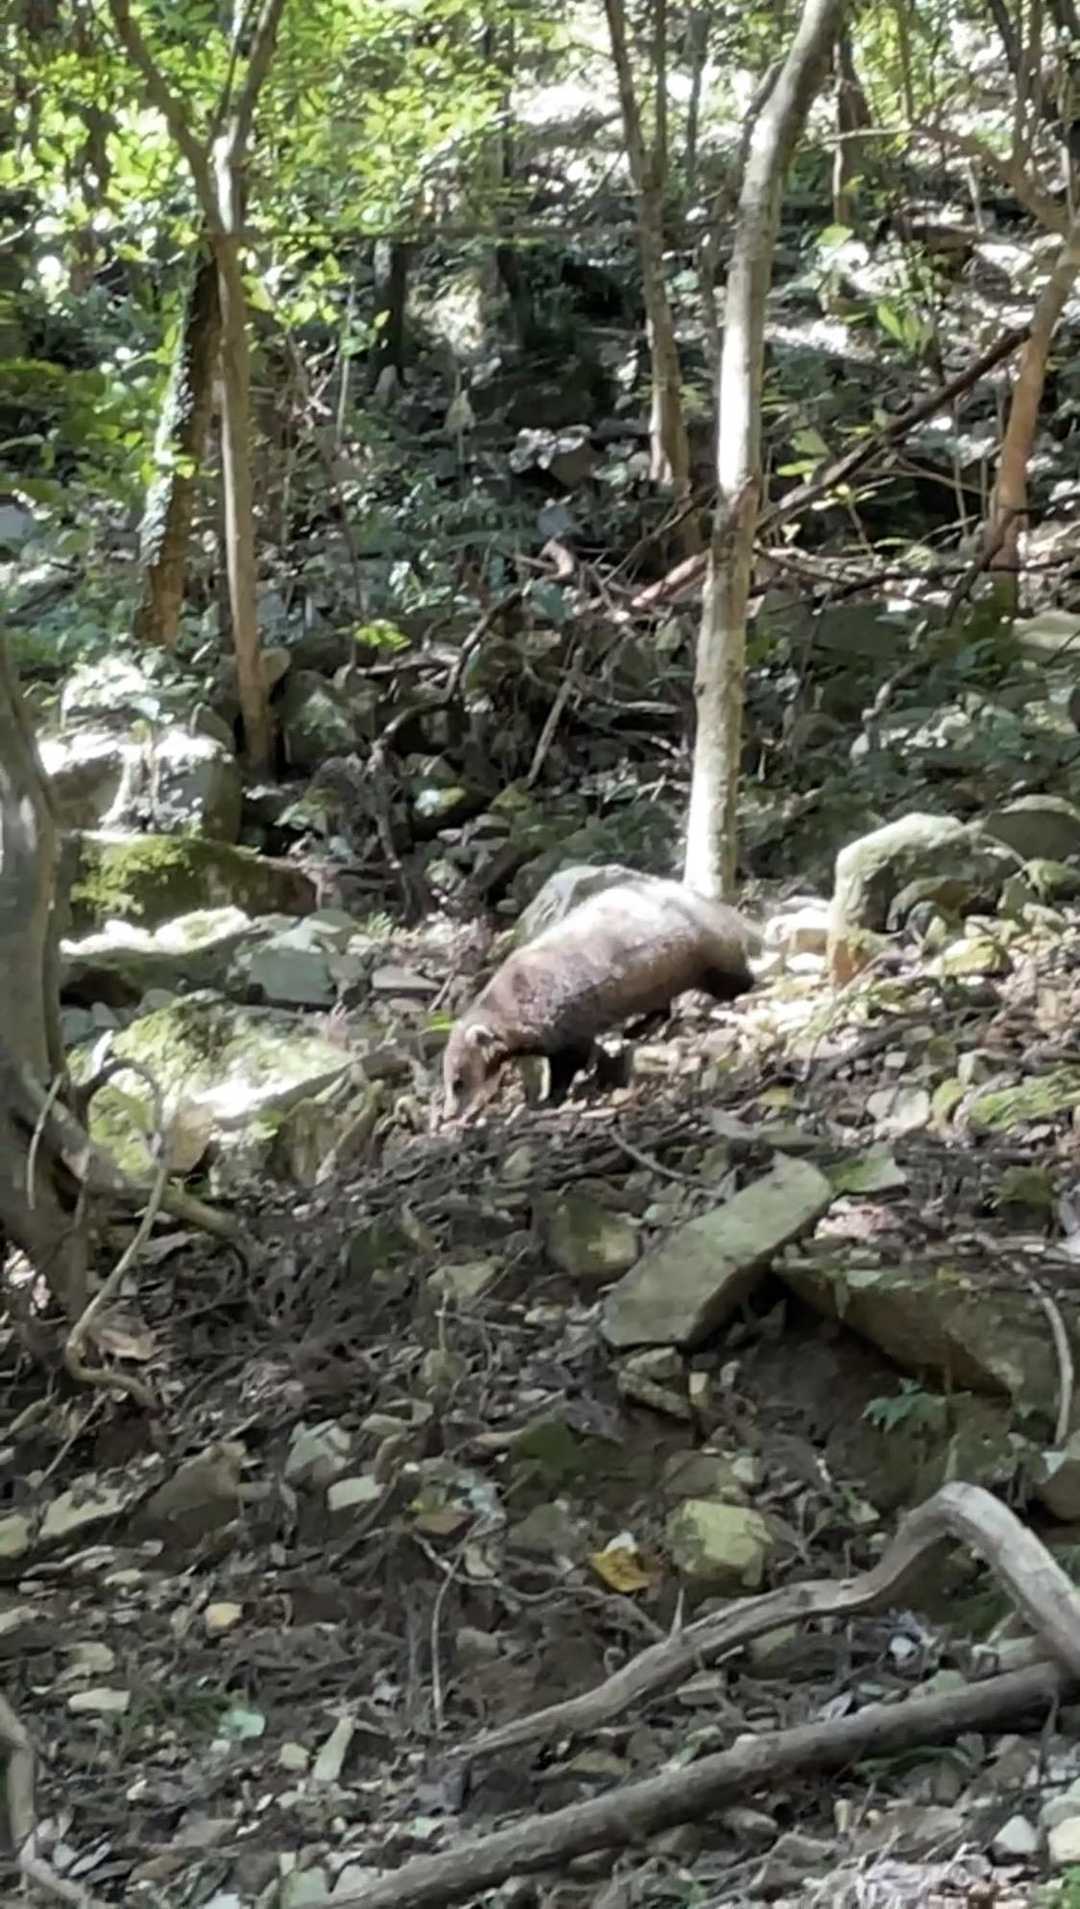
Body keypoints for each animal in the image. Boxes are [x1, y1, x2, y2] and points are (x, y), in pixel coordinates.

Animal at [443, 878, 759, 1120]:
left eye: (458, 1082)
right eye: (446, 1078)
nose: (448, 1115)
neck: (515, 997)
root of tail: (717, 908)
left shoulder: (567, 1019)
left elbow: (571, 1060)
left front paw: (549, 1098)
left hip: (703, 954)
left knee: (731, 977)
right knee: (662, 1006)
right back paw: (639, 1025)